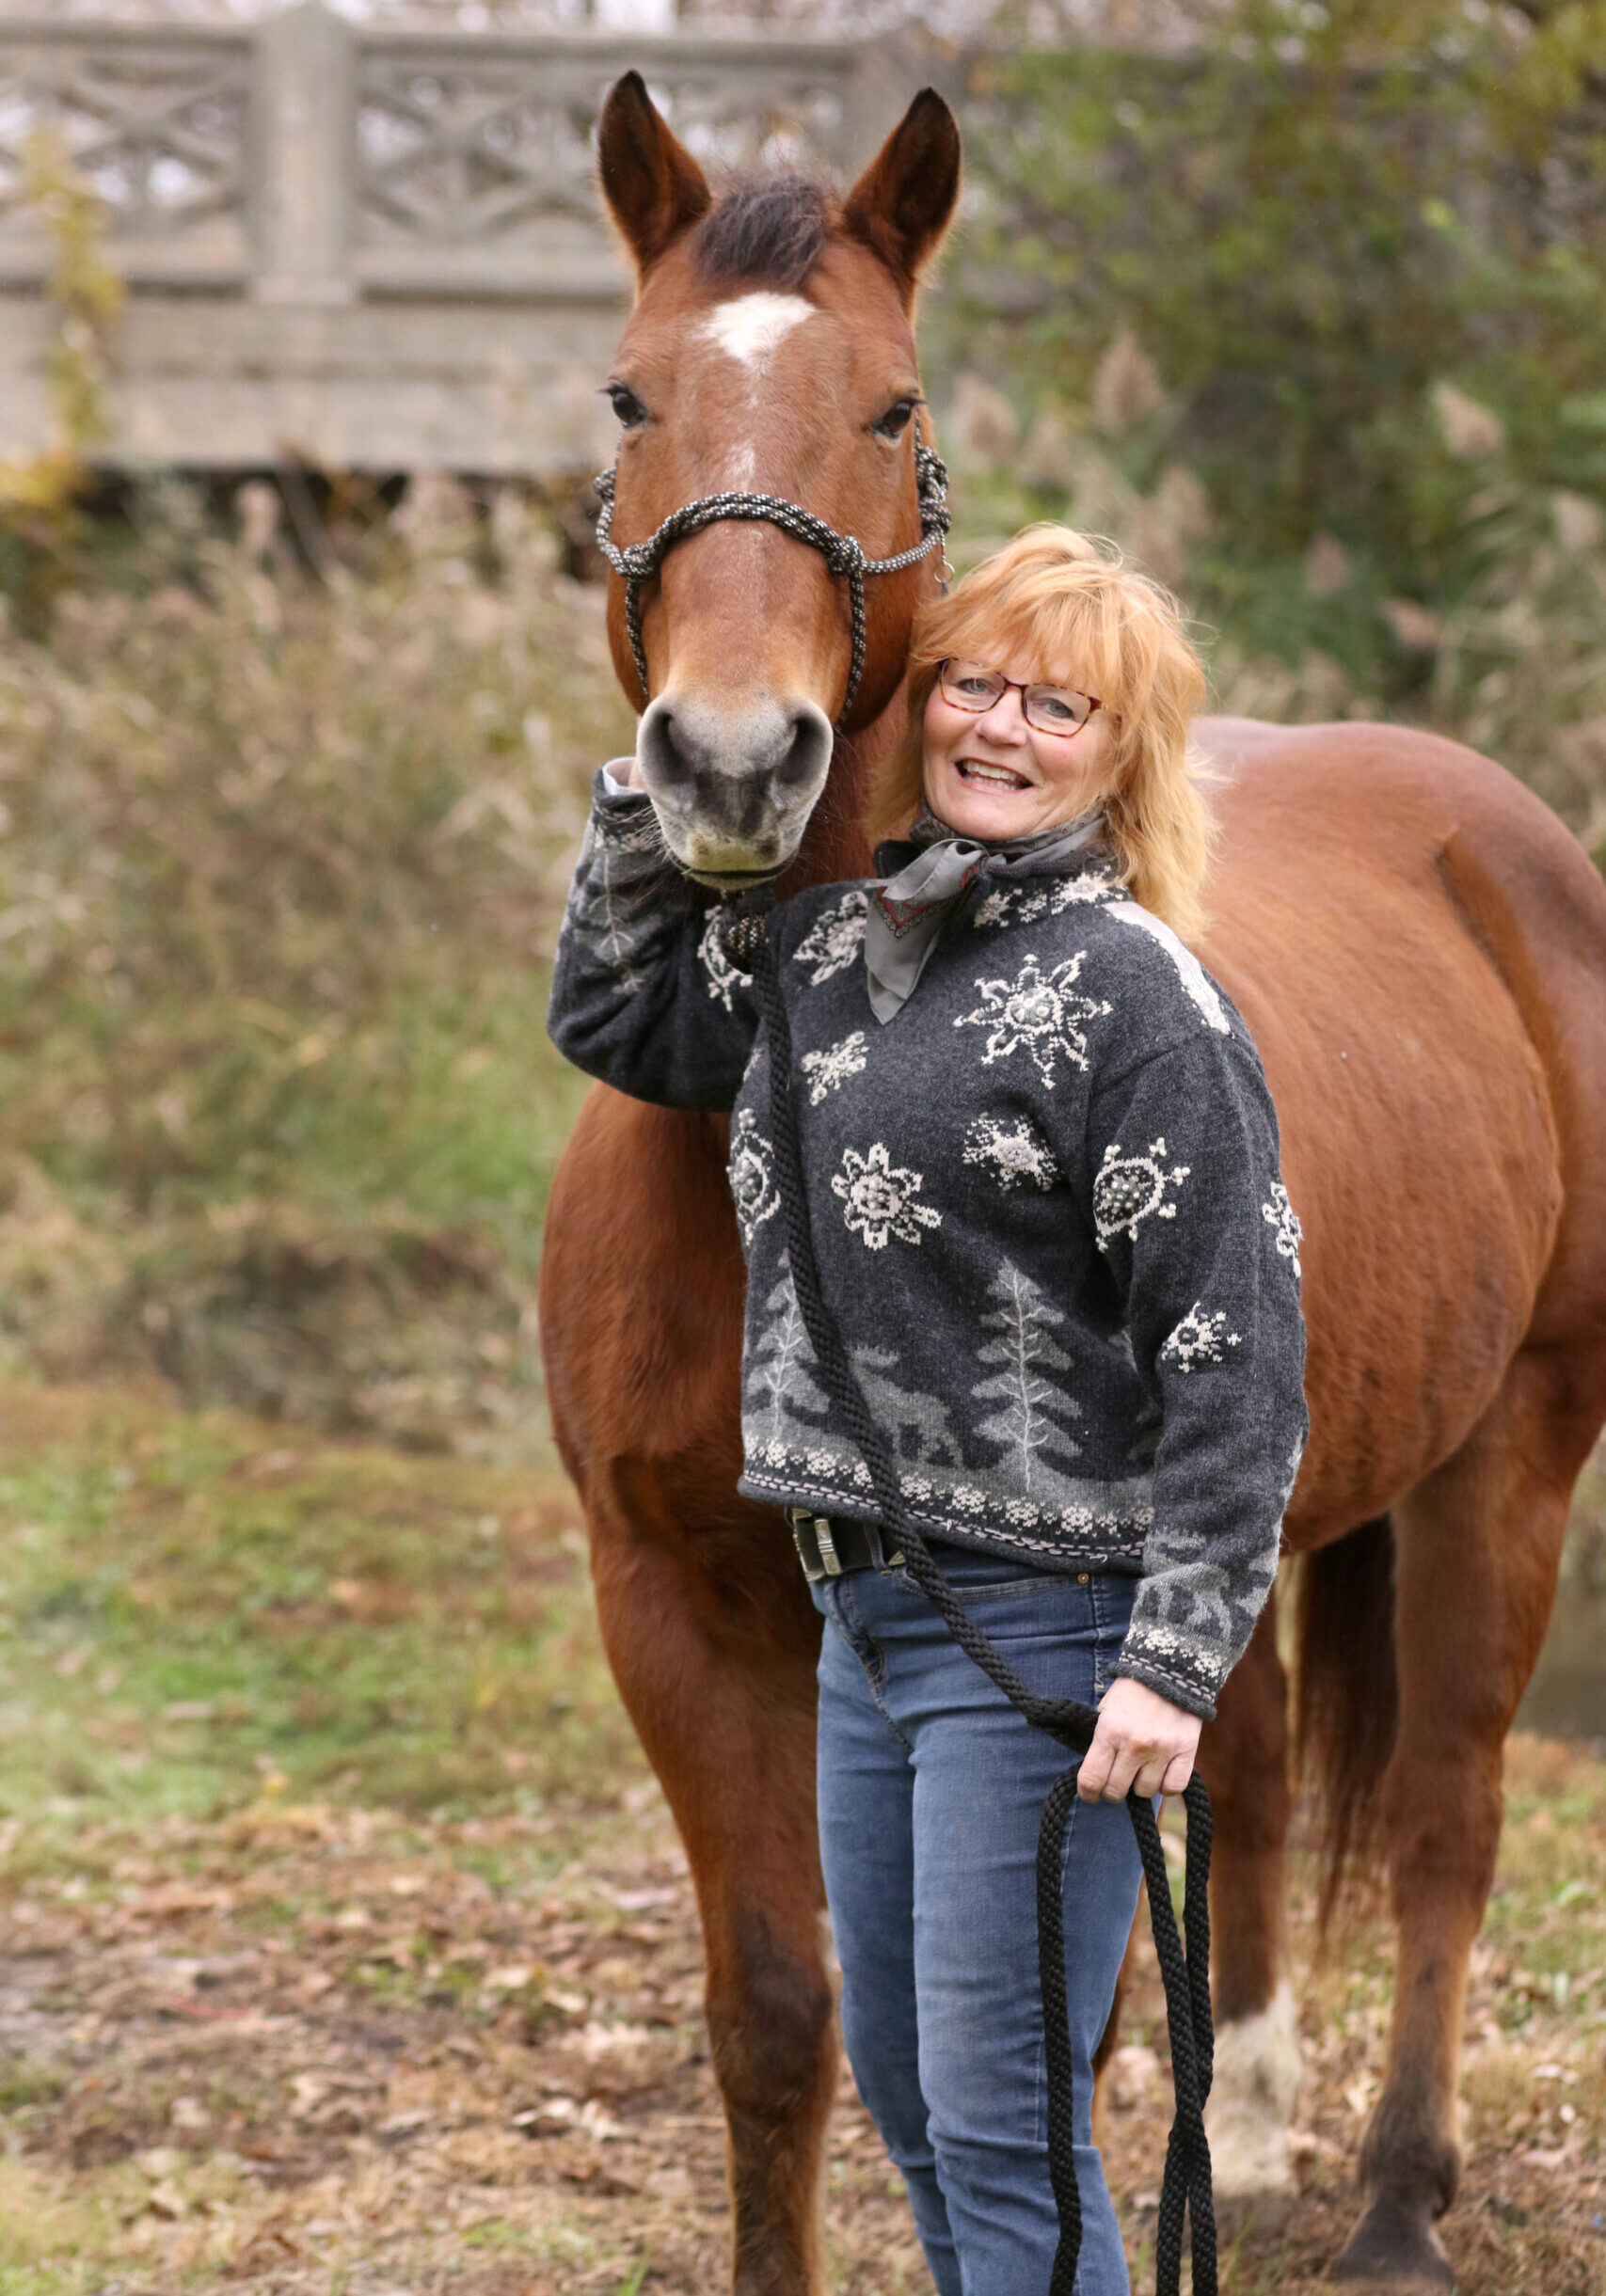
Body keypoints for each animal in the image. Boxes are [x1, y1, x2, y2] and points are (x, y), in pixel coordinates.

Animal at [539, 71, 1606, 2296]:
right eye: (626, 395)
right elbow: (777, 2021)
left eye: (892, 405)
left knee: (1446, 1815)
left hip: (1514, 1451)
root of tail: (1493, 832)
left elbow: (1037, 2041)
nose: (729, 763)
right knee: (1264, 1762)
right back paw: (1261, 2131)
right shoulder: (664, 1607)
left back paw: (1396, 2196)